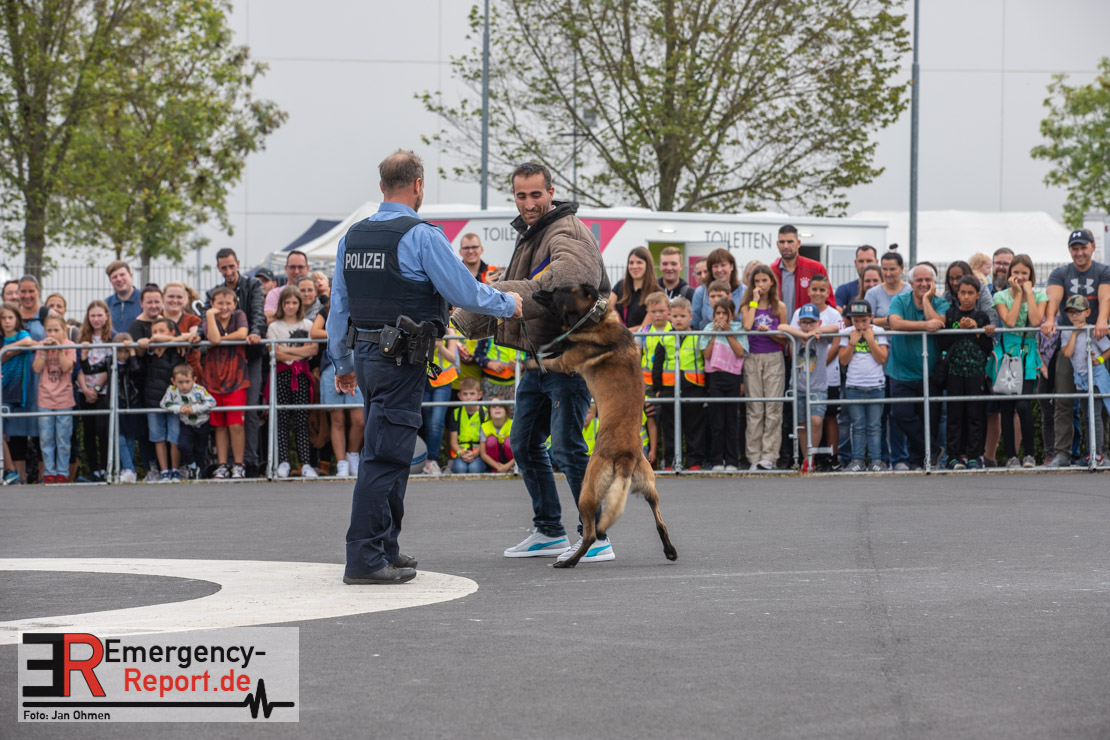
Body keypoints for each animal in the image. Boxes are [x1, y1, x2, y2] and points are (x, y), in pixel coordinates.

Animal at [530, 283, 677, 568]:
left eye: (560, 289)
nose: (536, 291)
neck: (595, 319)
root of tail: (626, 457)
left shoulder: (565, 362)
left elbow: (544, 359)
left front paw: (528, 360)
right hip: (650, 487)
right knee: (661, 521)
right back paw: (670, 551)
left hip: (586, 492)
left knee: (590, 533)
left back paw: (569, 561)